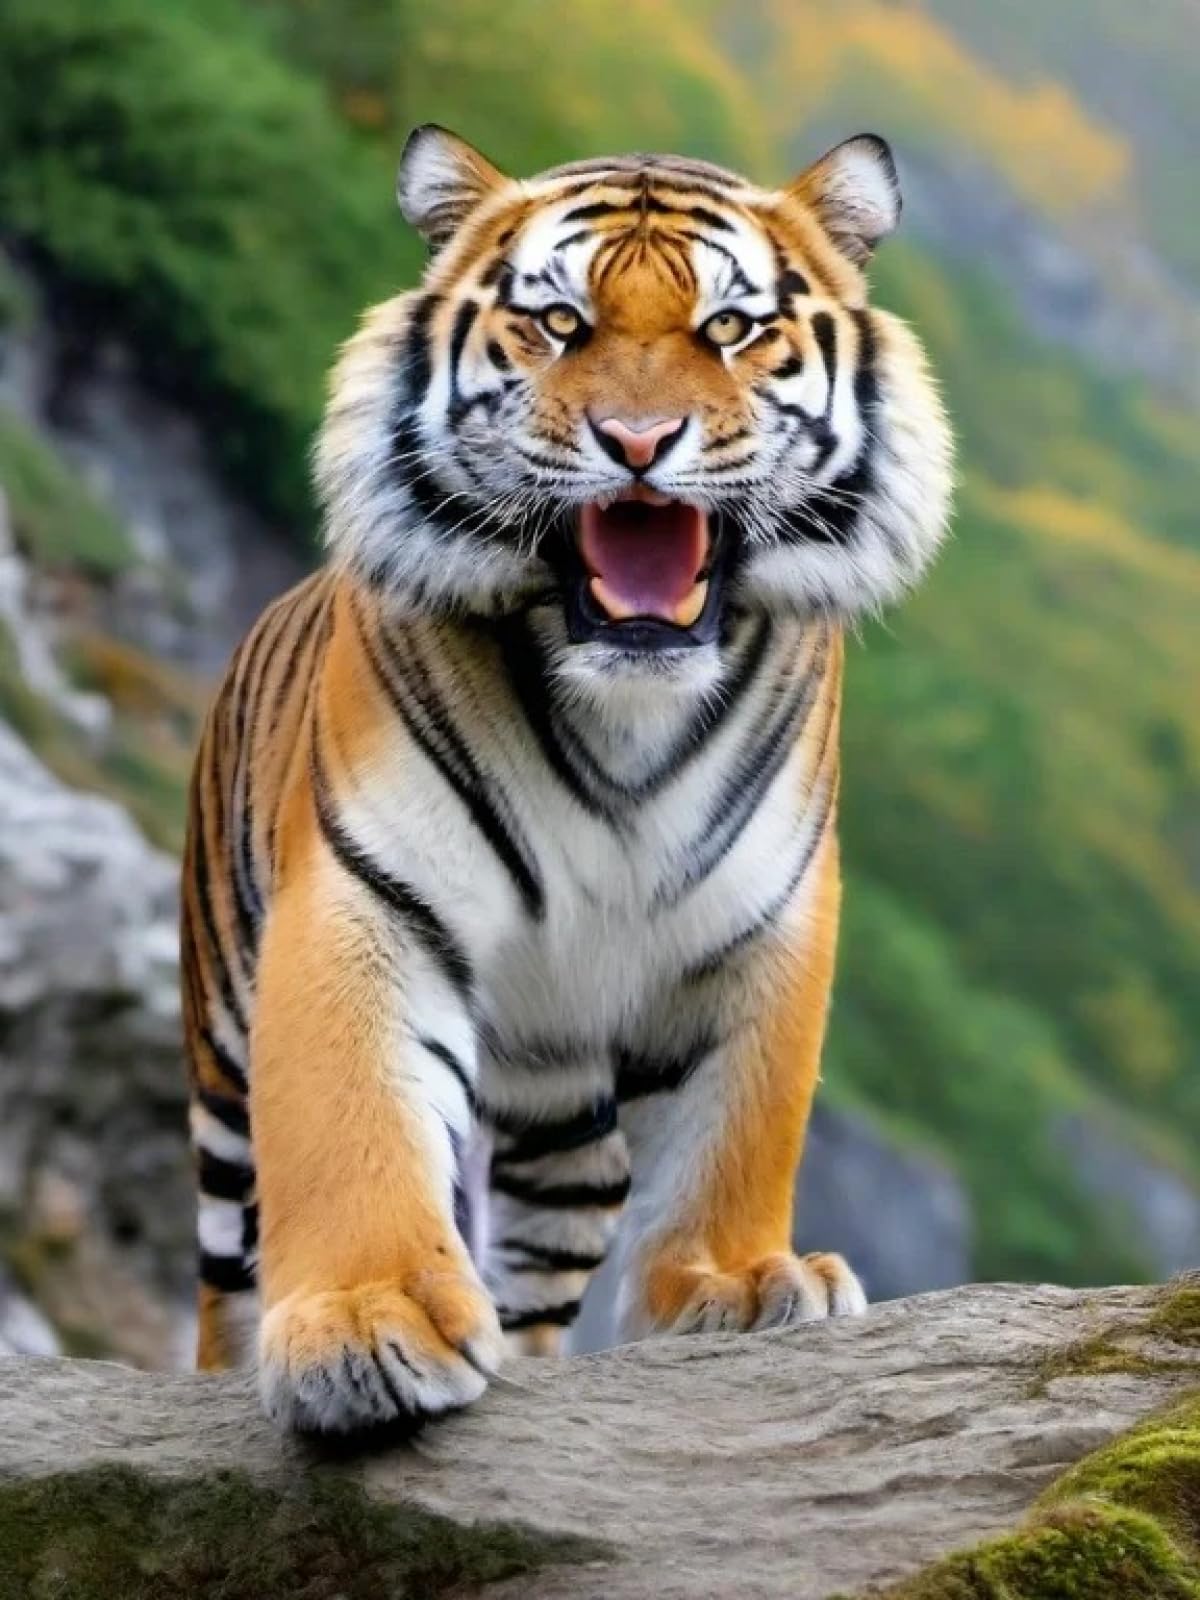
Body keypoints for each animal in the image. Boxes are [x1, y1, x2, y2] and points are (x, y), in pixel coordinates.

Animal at [182, 123, 952, 1434]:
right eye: (557, 323)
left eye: (730, 327)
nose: (639, 445)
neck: (623, 710)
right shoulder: (371, 894)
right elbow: (355, 1113)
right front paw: (367, 1321)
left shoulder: (768, 919)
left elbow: (740, 1122)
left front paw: (740, 1283)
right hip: (226, 1085)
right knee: (228, 1268)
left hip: (562, 1123)